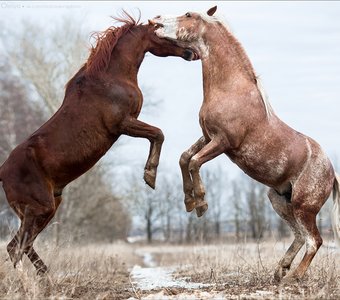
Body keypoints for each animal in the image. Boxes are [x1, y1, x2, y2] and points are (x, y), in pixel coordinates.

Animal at [0, 13, 198, 276]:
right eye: (163, 31)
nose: (191, 52)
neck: (112, 77)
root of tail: (2, 172)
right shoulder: (123, 124)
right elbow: (158, 134)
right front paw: (150, 176)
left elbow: (156, 135)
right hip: (39, 209)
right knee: (17, 247)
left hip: (47, 208)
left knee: (23, 245)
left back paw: (46, 276)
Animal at [151, 7, 340, 284]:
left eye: (188, 14)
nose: (155, 21)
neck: (230, 89)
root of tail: (332, 173)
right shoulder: (207, 137)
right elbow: (184, 158)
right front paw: (188, 201)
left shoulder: (222, 142)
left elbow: (194, 162)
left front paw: (201, 204)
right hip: (279, 200)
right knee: (299, 236)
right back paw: (280, 271)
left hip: (304, 207)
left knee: (314, 241)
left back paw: (293, 277)